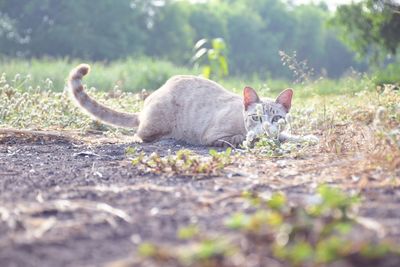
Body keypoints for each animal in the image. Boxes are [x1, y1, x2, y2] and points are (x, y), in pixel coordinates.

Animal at [68, 64, 294, 148]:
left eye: (276, 118)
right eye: (256, 117)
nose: (265, 128)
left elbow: (285, 135)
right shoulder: (213, 136)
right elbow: (239, 138)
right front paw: (252, 139)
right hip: (159, 123)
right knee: (141, 134)